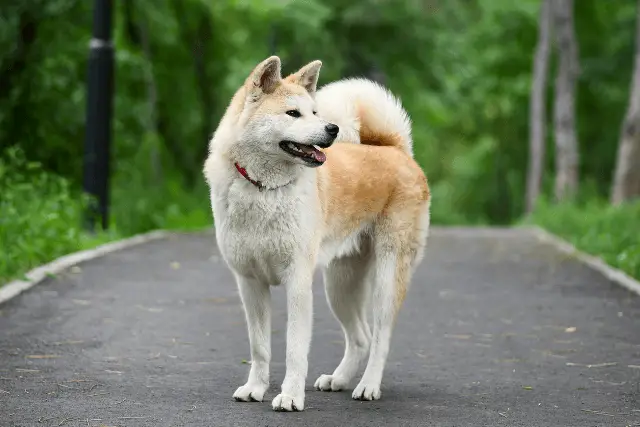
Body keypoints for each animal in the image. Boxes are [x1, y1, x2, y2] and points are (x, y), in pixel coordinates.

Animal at [201, 55, 430, 412]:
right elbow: (260, 347)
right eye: (293, 113)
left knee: (381, 338)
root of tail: (397, 151)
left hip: (387, 278)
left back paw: (368, 386)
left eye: (314, 112)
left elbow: (295, 350)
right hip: (339, 285)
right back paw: (338, 379)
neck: (265, 190)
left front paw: (290, 396)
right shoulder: (250, 284)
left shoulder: (297, 282)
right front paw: (255, 388)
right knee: (361, 338)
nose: (332, 129)